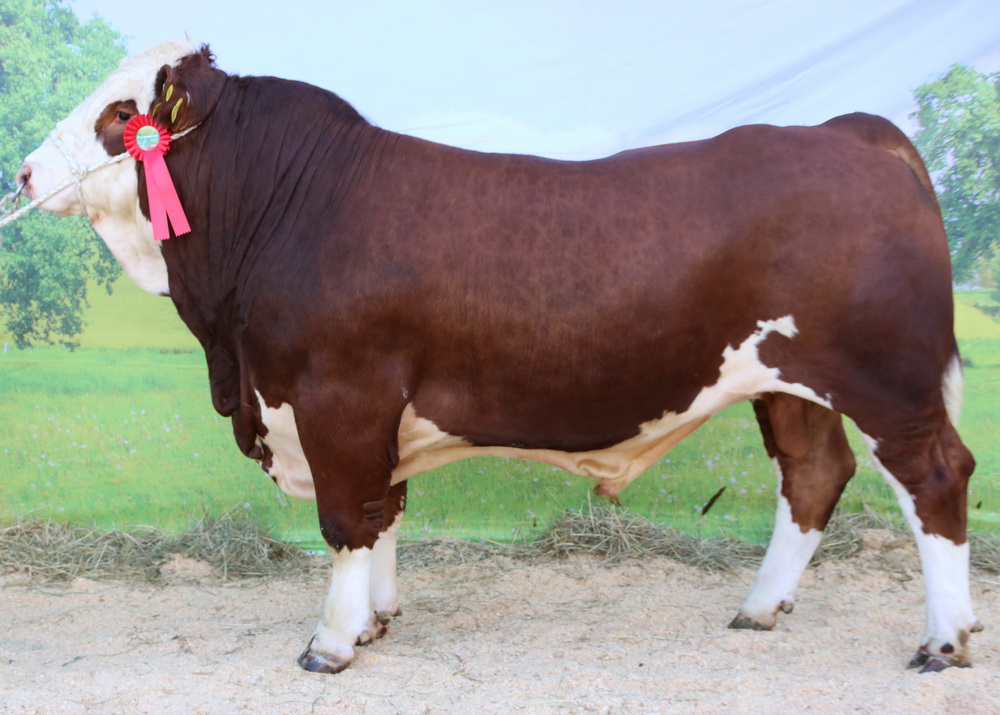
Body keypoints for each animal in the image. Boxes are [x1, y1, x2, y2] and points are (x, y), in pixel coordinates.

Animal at [17, 40, 984, 676]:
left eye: (121, 114)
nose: (23, 173)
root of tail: (847, 131)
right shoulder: (371, 412)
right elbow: (385, 510)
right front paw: (374, 621)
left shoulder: (336, 396)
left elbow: (345, 518)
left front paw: (329, 644)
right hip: (790, 385)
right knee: (814, 473)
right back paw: (759, 608)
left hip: (888, 382)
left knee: (936, 477)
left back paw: (944, 638)